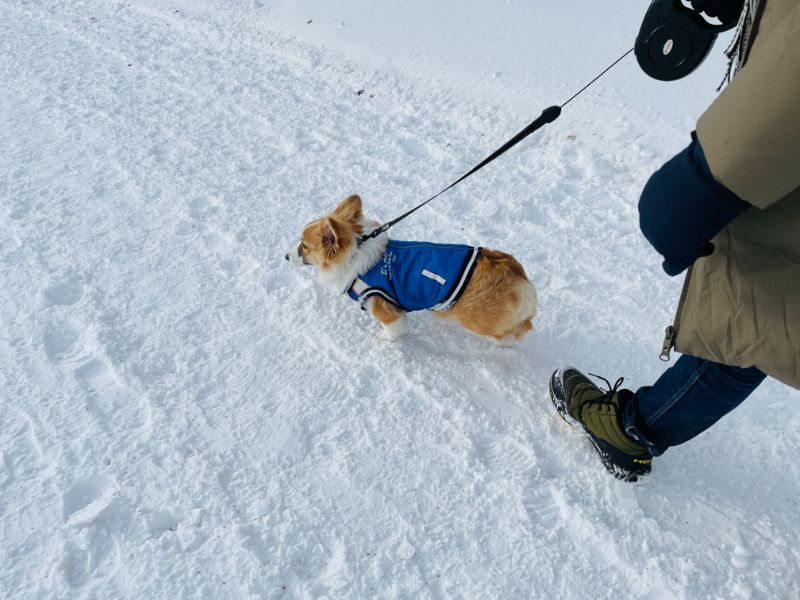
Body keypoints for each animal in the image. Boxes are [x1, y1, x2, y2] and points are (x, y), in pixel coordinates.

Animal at [288, 195, 536, 344]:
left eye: (305, 246)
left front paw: (383, 337)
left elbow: (393, 329)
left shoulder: (382, 305)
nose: (285, 256)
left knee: (519, 328)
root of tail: (515, 271)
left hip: (479, 321)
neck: (355, 253)